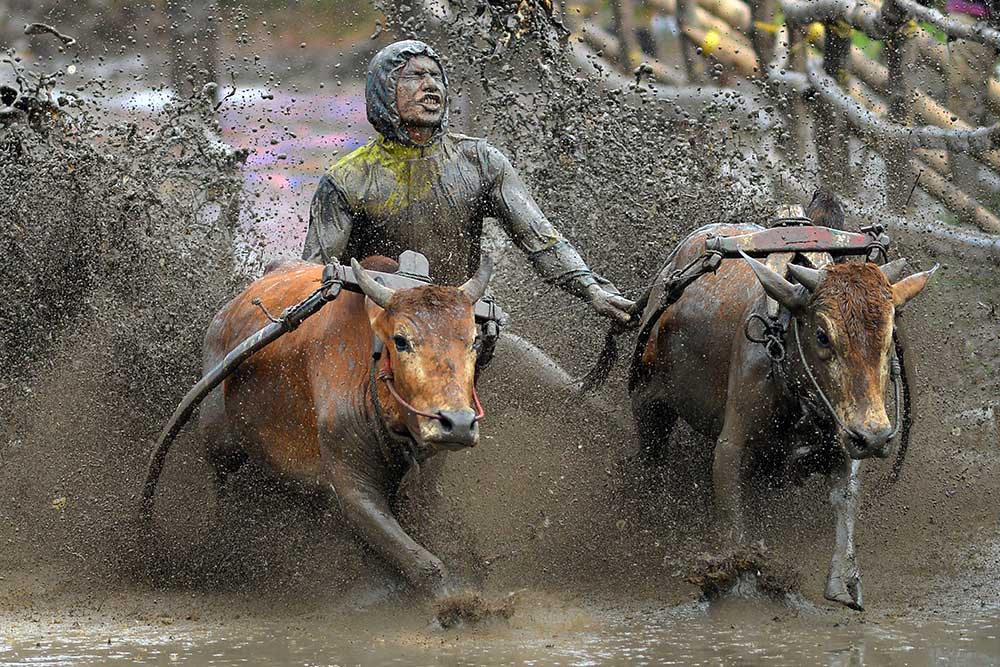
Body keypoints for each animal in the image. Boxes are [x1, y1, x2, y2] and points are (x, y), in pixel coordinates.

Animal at [176, 254, 492, 596]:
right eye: (401, 340)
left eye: (474, 342)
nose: (457, 423)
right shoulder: (352, 488)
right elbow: (424, 566)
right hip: (219, 443)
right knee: (222, 485)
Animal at [632, 223, 936, 612]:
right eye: (823, 335)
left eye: (888, 338)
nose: (875, 438)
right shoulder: (731, 448)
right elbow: (733, 518)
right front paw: (740, 583)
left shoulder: (843, 440)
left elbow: (845, 501)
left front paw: (843, 581)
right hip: (648, 401)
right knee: (651, 455)